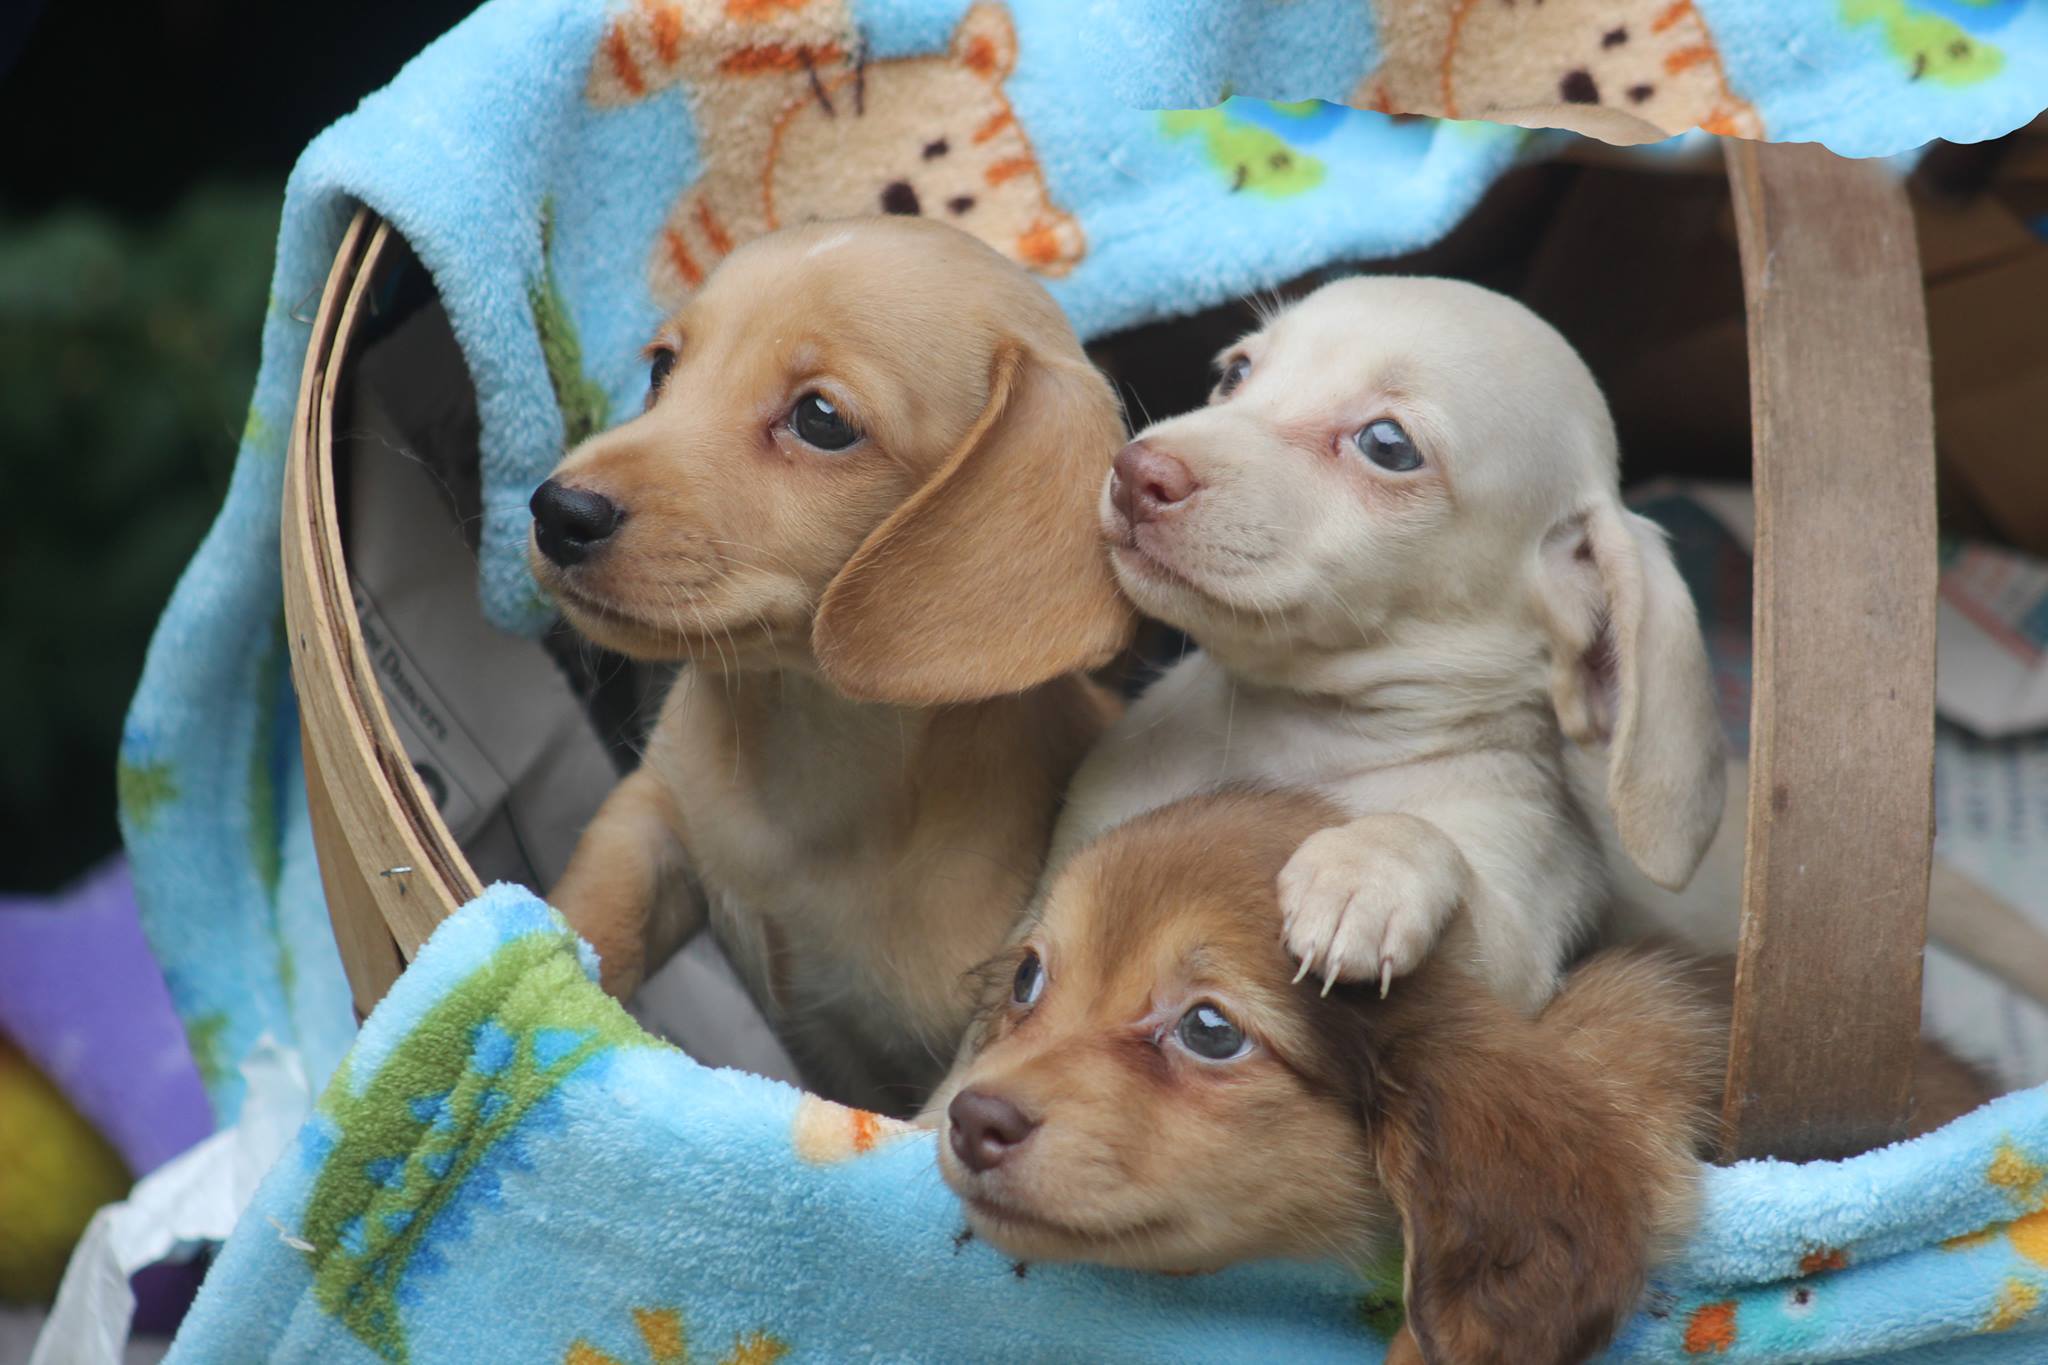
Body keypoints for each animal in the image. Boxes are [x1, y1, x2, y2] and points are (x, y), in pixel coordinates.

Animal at [1048, 278, 1720, 1010]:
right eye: (1236, 372)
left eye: (1389, 444)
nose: (1136, 471)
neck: (1294, 733)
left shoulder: (1515, 954)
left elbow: (1428, 840)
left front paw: (1367, 870)